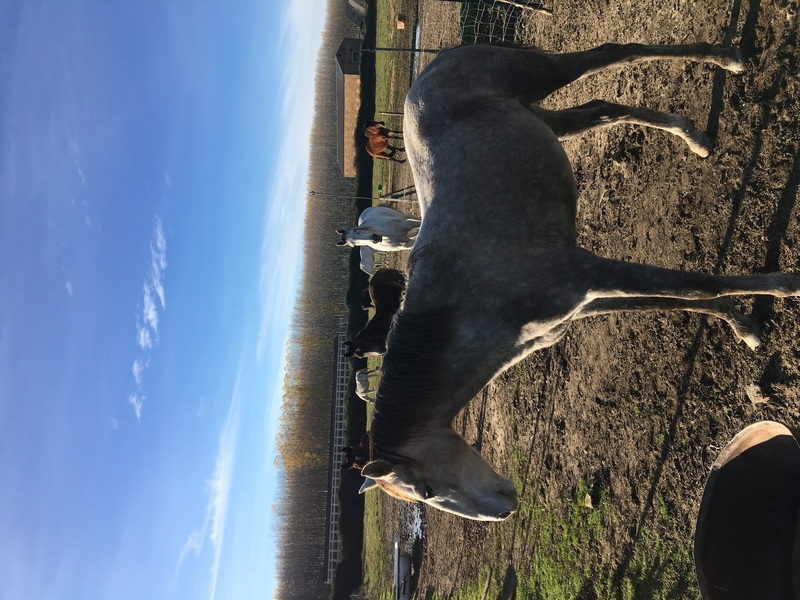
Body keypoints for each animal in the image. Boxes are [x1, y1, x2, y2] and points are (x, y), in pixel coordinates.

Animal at [360, 42, 800, 521]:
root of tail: (435, 64)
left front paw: (787, 285)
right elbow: (677, 299)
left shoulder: (587, 276)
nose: (504, 511)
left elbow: (696, 286)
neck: (468, 307)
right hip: (544, 116)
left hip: (542, 76)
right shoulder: (584, 300)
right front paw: (744, 325)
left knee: (614, 54)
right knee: (603, 109)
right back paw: (695, 139)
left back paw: (729, 63)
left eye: (425, 491)